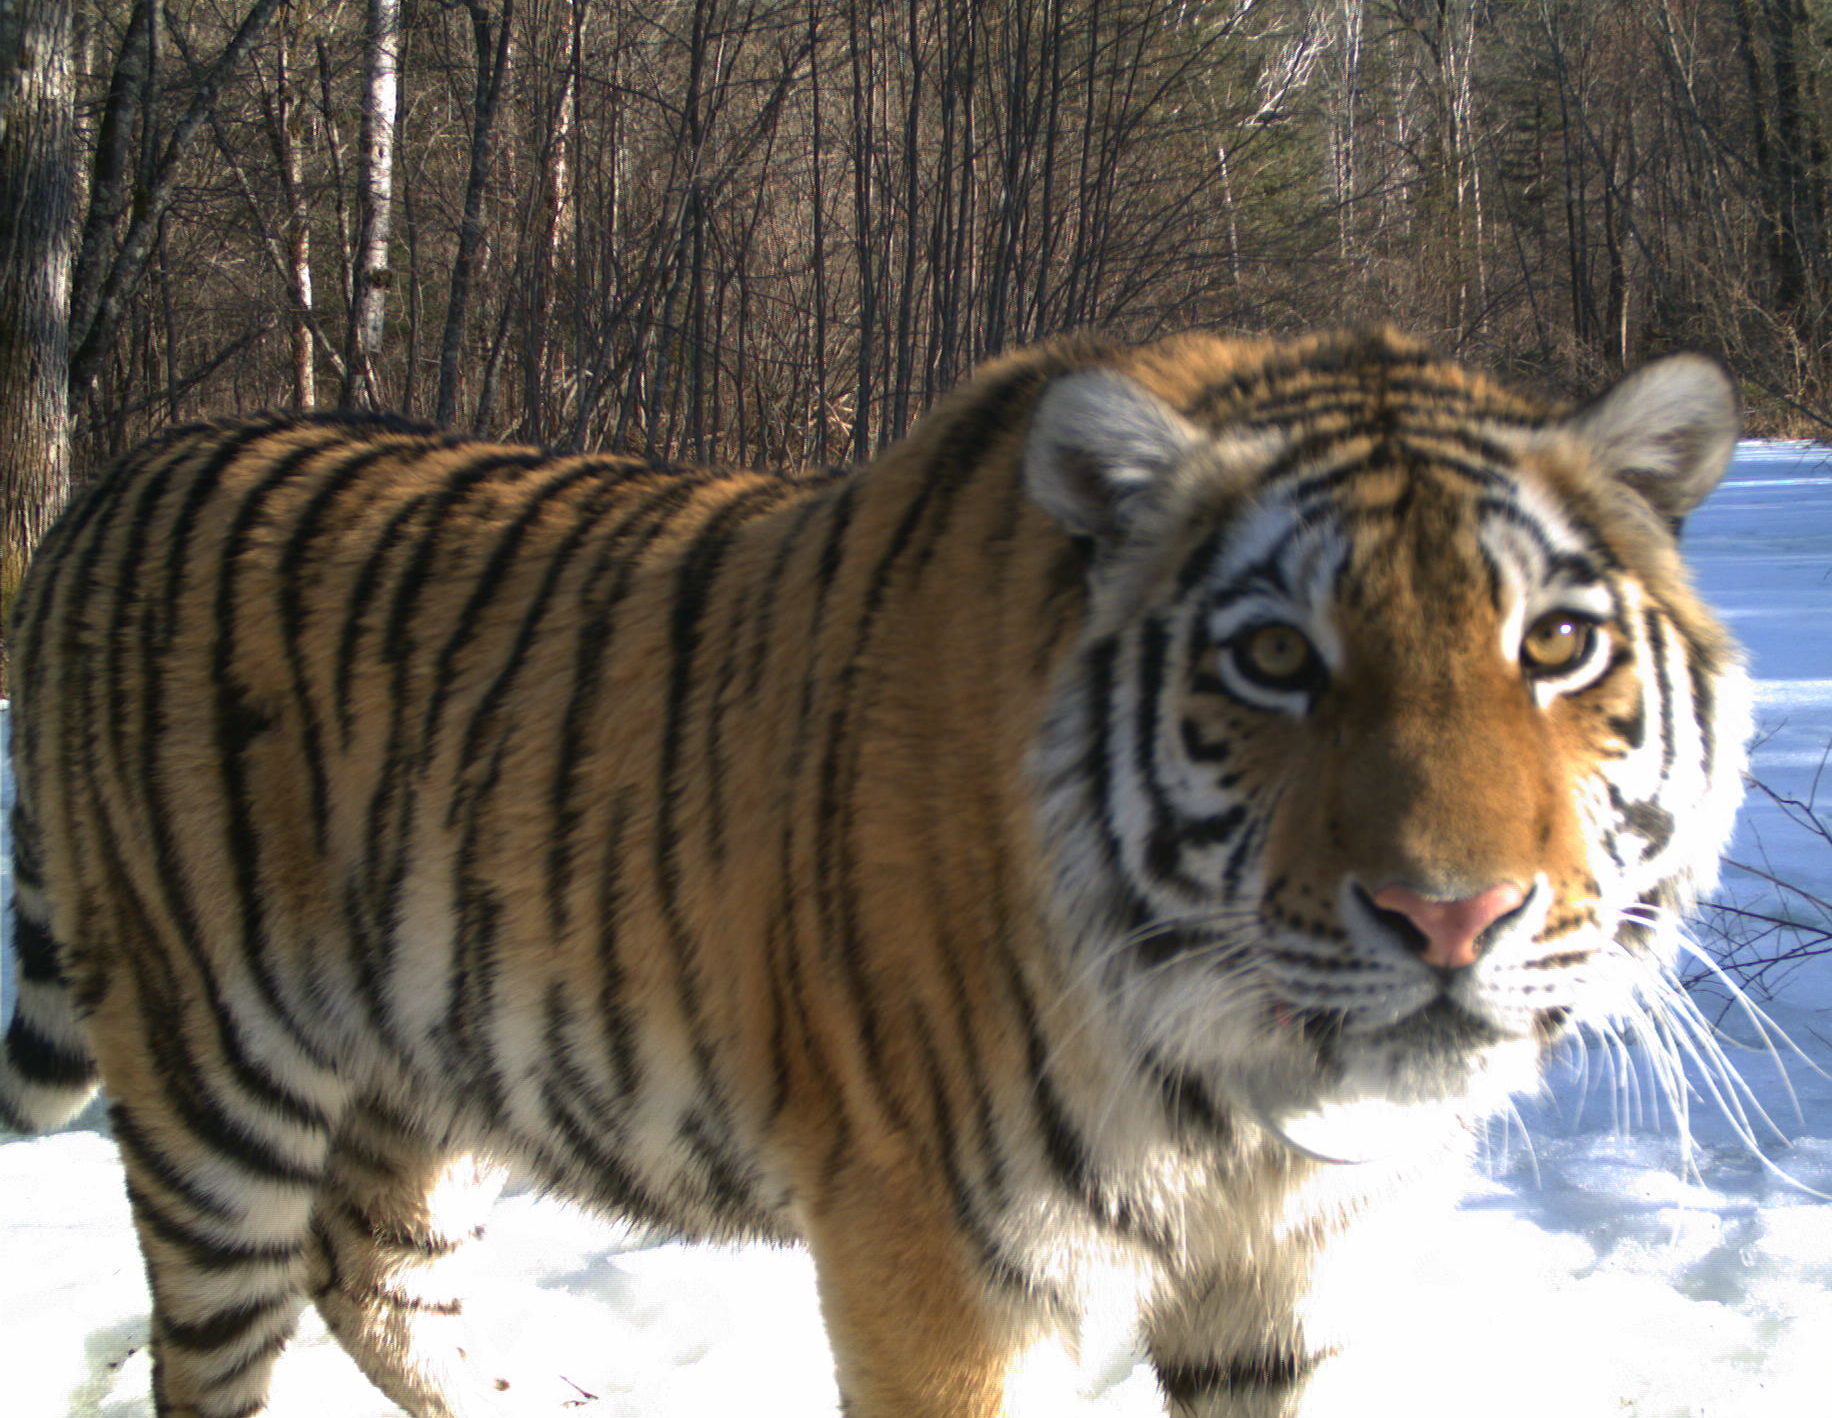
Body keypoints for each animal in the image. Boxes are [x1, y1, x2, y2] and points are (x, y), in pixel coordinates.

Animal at [0, 327, 1744, 1414]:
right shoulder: (938, 1255)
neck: (1244, 1091)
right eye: (1273, 660)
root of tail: (110, 481)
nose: (1454, 914)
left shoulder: (1290, 1264)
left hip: (427, 1066)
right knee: (222, 1339)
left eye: (1557, 644)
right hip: (215, 1077)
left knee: (373, 1261)